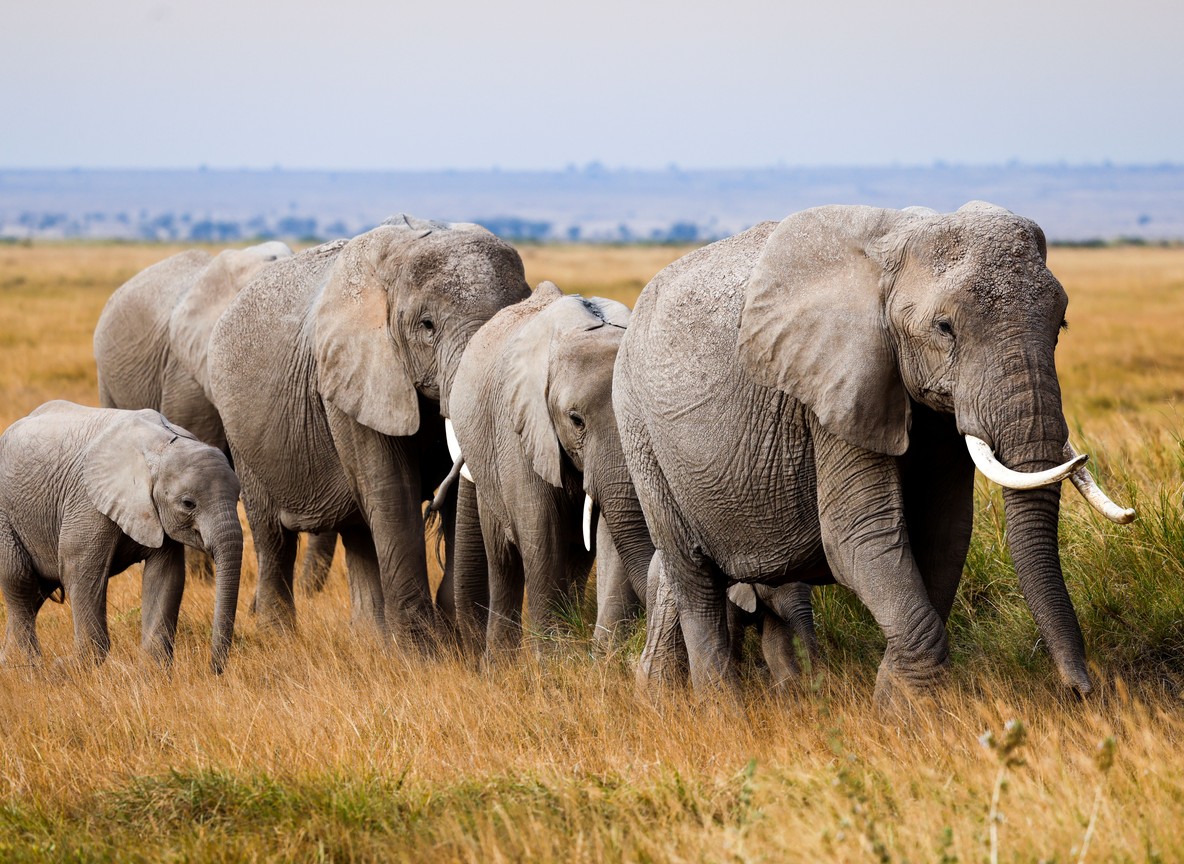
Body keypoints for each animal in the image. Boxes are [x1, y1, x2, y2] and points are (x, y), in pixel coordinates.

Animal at [0, 401, 243, 671]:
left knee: (35, 593)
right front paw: (63, 669)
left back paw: (10, 665)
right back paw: (28, 668)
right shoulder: (88, 502)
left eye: (238, 497)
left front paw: (153, 672)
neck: (162, 445)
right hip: (5, 516)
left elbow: (166, 575)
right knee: (19, 581)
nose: (214, 669)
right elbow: (80, 570)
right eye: (188, 504)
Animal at [206, 215, 532, 645]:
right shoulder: (351, 378)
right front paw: (423, 650)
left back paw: (370, 639)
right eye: (427, 326)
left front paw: (447, 641)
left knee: (358, 530)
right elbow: (392, 491)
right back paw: (281, 638)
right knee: (273, 535)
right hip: (241, 433)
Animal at [447, 284, 656, 653]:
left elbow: (613, 537)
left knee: (575, 558)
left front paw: (601, 656)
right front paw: (554, 659)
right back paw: (501, 661)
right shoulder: (519, 428)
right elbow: (542, 531)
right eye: (576, 420)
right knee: (503, 561)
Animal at [614, 202, 1135, 705]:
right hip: (638, 427)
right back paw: (721, 712)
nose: (1080, 691)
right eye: (944, 328)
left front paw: (900, 702)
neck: (899, 244)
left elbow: (944, 533)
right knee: (693, 578)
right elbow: (859, 534)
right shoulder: (834, 390)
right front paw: (898, 712)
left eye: (1061, 324)